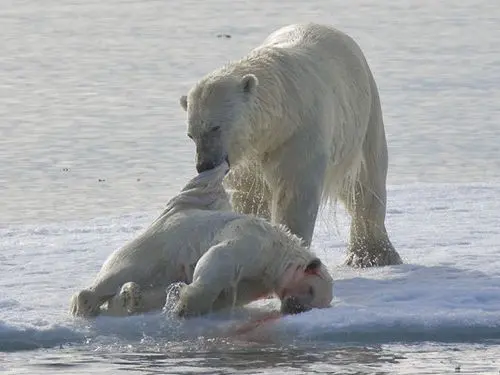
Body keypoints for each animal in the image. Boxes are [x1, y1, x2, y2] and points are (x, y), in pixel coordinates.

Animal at [69, 162, 332, 320]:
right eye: (311, 290)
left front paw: (178, 300)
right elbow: (218, 259)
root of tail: (171, 213)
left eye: (317, 303)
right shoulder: (253, 241)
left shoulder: (259, 280)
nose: (293, 308)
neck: (280, 252)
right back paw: (86, 305)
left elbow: (229, 294)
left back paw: (129, 298)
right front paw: (185, 307)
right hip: (155, 245)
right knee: (123, 270)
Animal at [181, 22, 402, 268]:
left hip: (365, 114)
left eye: (215, 127)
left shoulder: (298, 134)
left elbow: (295, 193)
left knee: (366, 182)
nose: (204, 165)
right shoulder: (249, 157)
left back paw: (373, 255)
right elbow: (249, 194)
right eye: (191, 135)